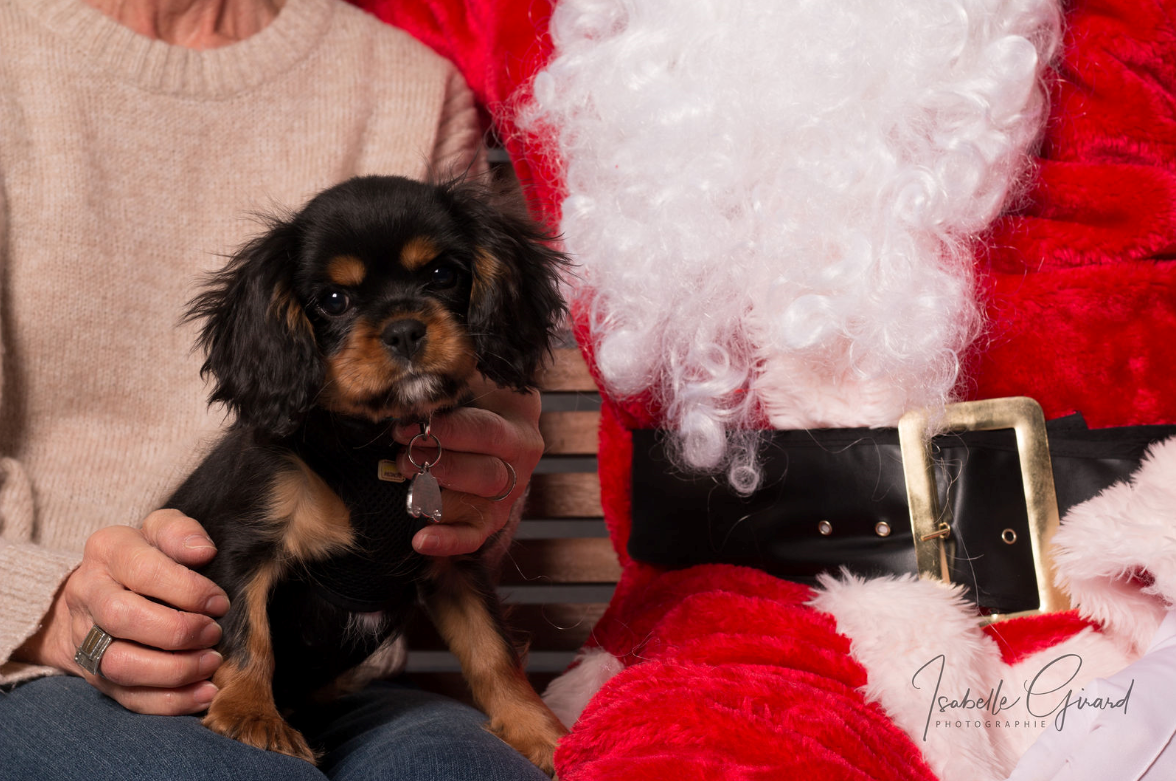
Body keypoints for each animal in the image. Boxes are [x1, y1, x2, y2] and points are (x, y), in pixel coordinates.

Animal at [167, 175, 570, 774]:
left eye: (442, 275)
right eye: (334, 301)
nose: (404, 330)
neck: (373, 445)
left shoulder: (454, 563)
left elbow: (493, 653)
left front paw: (540, 731)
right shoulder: (245, 547)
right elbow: (246, 631)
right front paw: (251, 715)